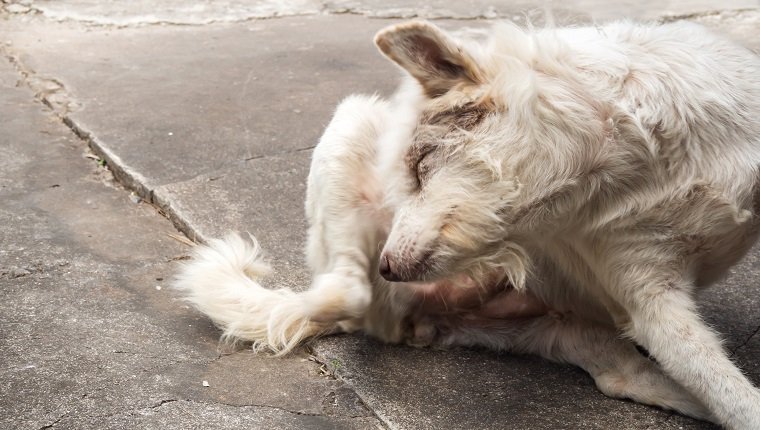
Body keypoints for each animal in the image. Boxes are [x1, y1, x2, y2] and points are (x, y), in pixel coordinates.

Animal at [175, 19, 760, 426]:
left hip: (563, 332)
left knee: (634, 377)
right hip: (353, 120)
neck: (641, 160)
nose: (387, 265)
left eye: (418, 167)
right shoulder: (650, 297)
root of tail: (409, 314)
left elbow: (734, 401)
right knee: (343, 290)